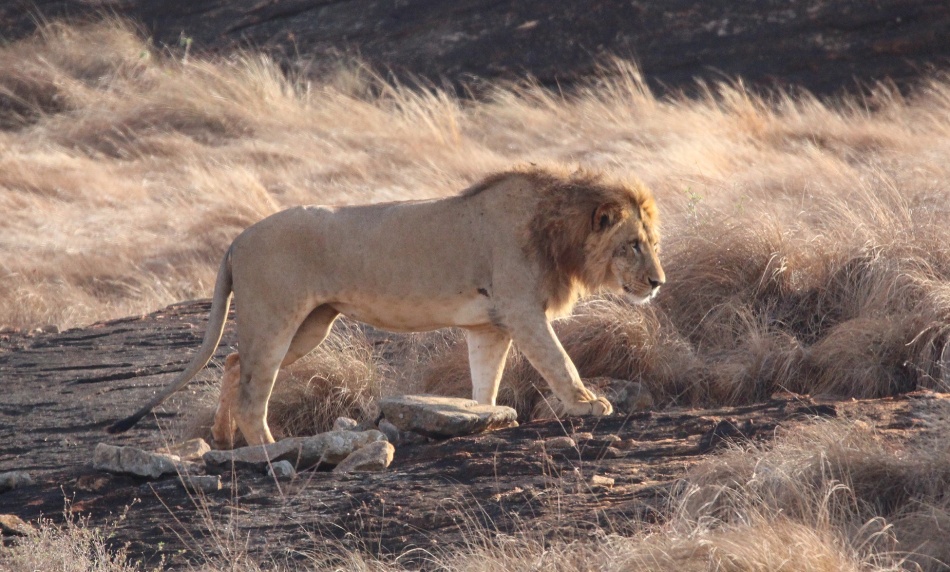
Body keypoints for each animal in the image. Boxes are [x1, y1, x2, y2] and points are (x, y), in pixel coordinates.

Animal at [108, 165, 665, 447]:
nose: (658, 282)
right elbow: (559, 361)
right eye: (632, 245)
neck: (557, 229)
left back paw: (224, 441)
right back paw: (267, 448)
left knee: (232, 361)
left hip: (310, 325)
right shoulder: (522, 311)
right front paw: (588, 403)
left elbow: (485, 383)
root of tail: (237, 240)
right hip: (276, 317)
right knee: (252, 390)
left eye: (653, 242)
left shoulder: (490, 326)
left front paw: (481, 418)